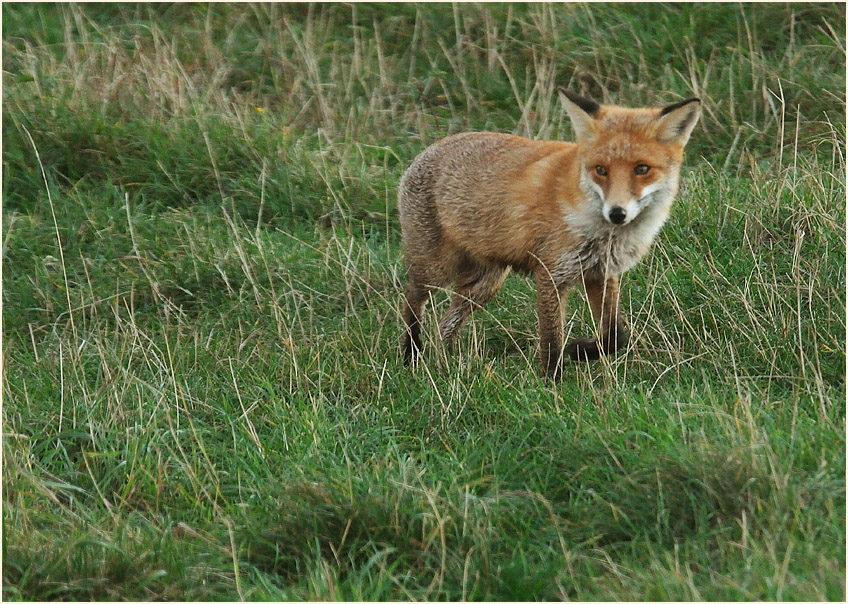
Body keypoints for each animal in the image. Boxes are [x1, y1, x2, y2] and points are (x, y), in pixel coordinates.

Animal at [398, 89, 701, 377]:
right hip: (436, 271)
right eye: (600, 170)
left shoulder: (600, 273)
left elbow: (614, 336)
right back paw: (411, 355)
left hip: (485, 283)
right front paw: (551, 382)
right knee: (411, 299)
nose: (617, 213)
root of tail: (429, 149)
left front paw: (580, 351)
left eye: (642, 169)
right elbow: (552, 339)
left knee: (445, 322)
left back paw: (445, 362)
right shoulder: (551, 274)